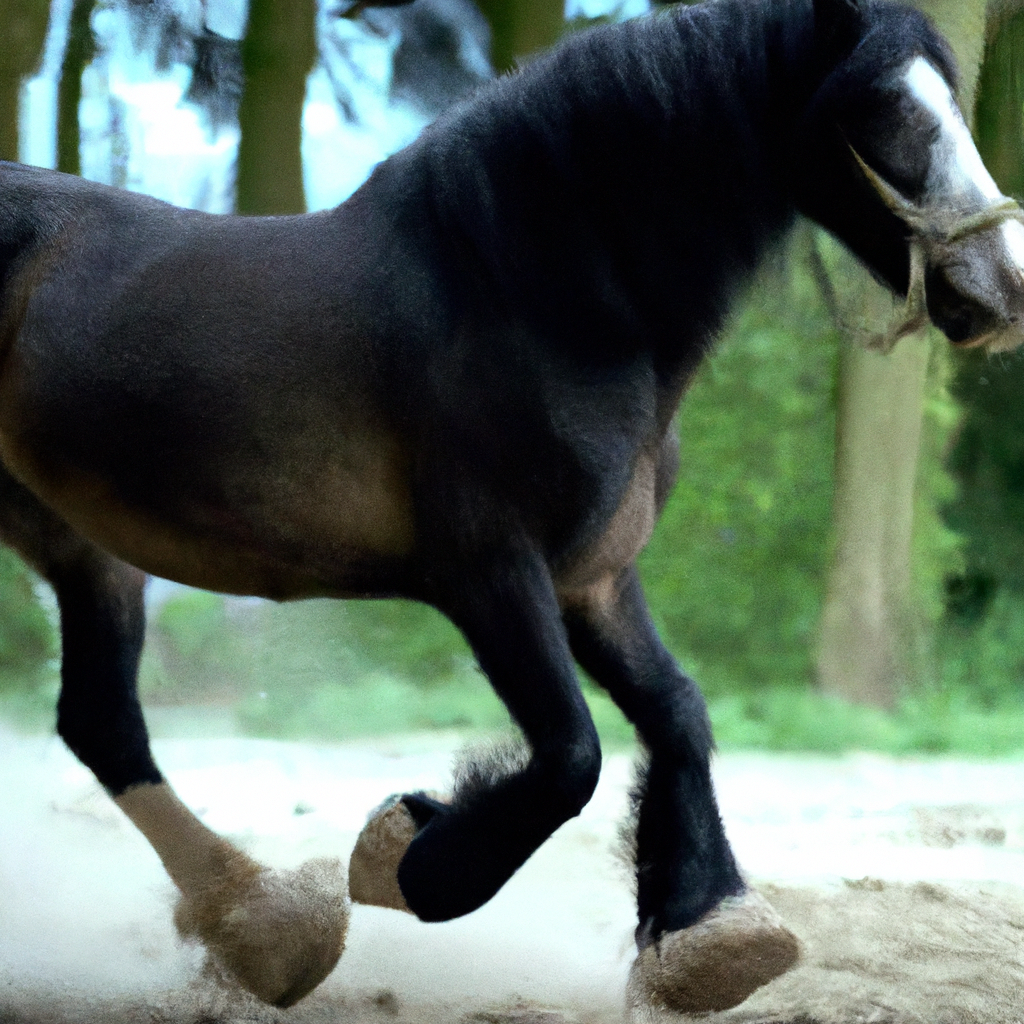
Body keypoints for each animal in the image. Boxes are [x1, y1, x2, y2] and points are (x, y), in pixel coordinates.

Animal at [2, 0, 1024, 1011]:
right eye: (881, 110)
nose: (1001, 292)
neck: (536, 300)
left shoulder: (596, 575)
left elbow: (677, 712)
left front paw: (708, 933)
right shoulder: (488, 570)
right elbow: (571, 754)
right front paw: (408, 855)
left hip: (74, 538)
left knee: (99, 720)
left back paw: (261, 928)